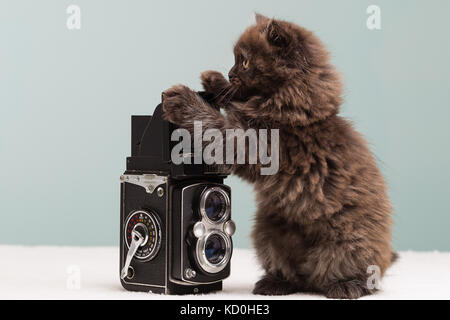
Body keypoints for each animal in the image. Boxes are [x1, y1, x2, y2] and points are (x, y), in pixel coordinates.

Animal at [162, 13, 394, 298]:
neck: (293, 108)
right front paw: (215, 82)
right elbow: (233, 102)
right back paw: (274, 284)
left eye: (245, 61)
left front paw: (183, 100)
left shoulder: (251, 144)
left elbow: (216, 126)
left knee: (357, 273)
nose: (230, 72)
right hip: (267, 234)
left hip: (346, 246)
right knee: (293, 274)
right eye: (235, 61)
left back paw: (345, 286)